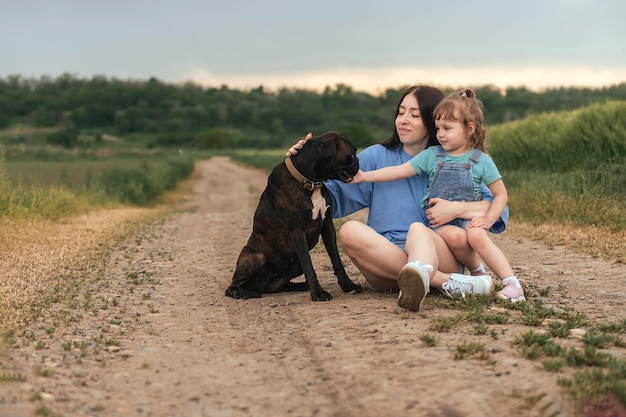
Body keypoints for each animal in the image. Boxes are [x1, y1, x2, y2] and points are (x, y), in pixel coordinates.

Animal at [224, 131, 360, 300]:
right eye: (352, 155)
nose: (359, 162)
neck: (311, 182)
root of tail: (260, 286)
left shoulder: (327, 226)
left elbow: (336, 259)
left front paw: (348, 285)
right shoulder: (297, 232)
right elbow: (309, 266)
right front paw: (318, 292)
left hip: (293, 267)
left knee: (276, 286)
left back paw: (299, 286)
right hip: (256, 257)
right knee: (232, 287)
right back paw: (243, 292)